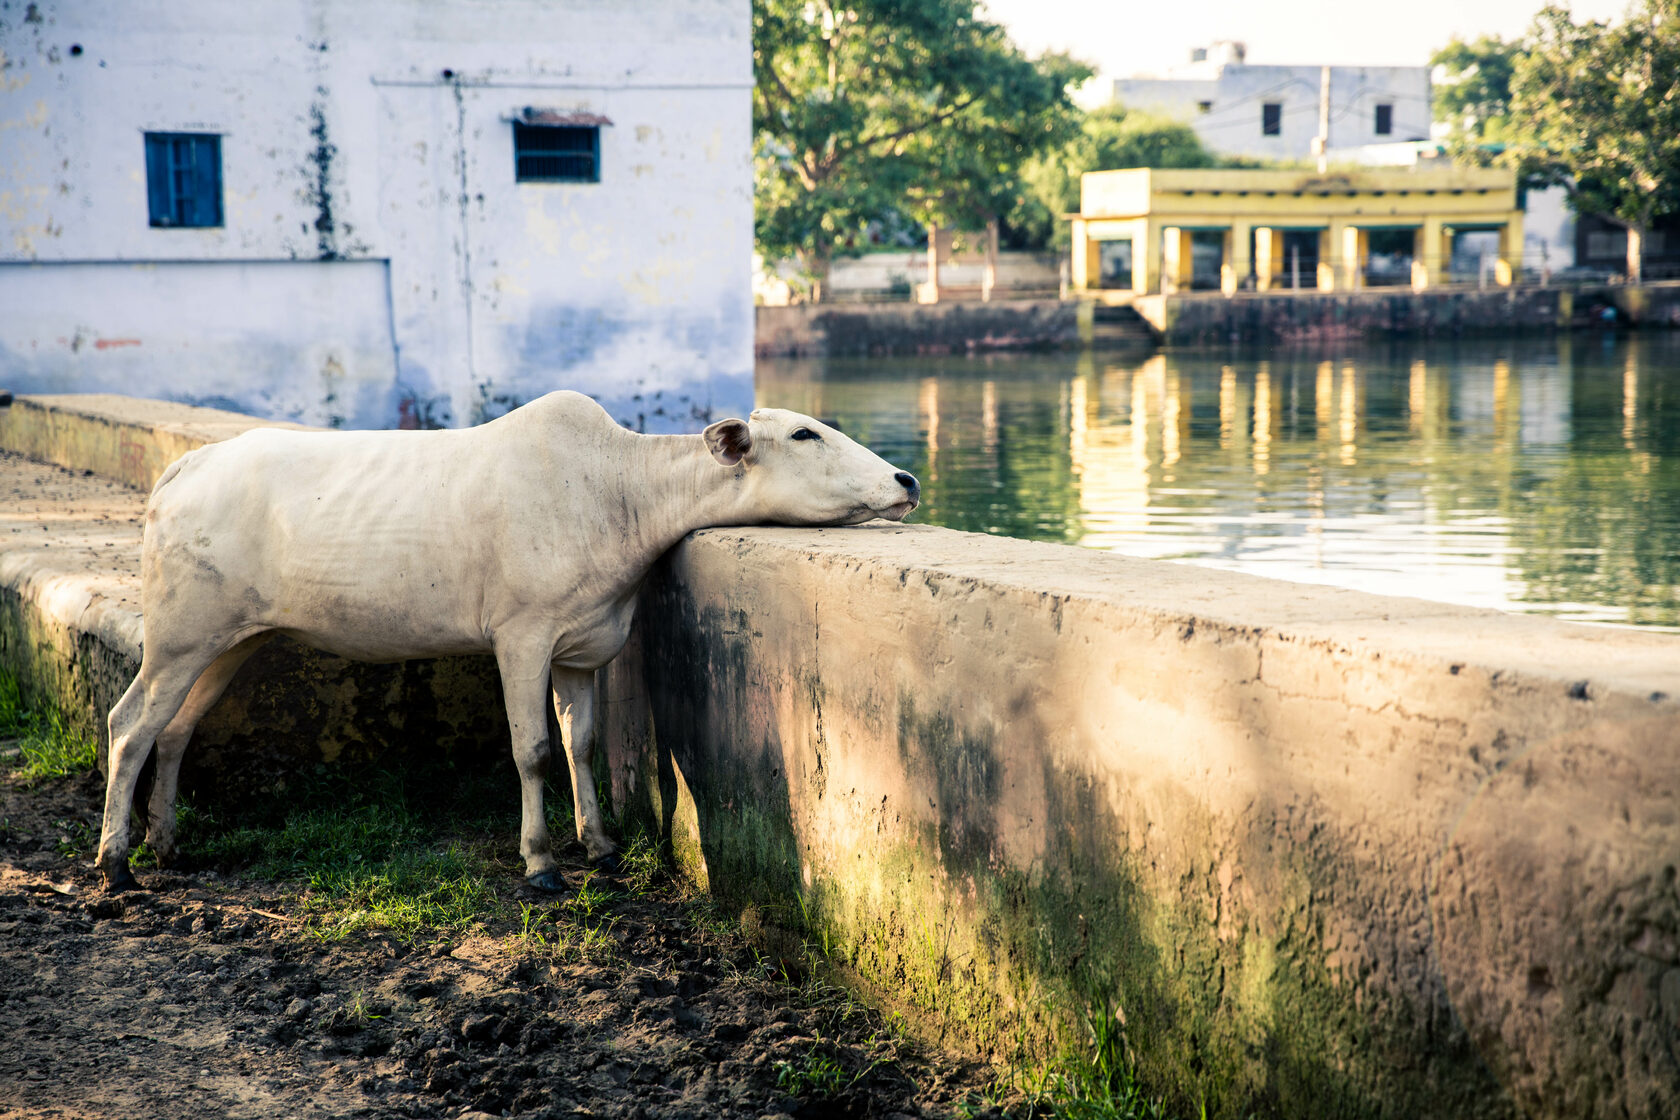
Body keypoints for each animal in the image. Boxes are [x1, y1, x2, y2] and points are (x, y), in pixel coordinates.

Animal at [99, 394, 920, 893]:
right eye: (805, 433)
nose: (907, 479)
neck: (618, 494)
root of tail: (187, 465)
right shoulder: (522, 635)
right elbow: (532, 750)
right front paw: (541, 861)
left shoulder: (582, 646)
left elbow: (581, 743)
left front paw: (600, 844)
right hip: (180, 634)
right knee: (130, 723)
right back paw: (115, 861)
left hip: (229, 639)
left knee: (176, 728)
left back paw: (164, 842)